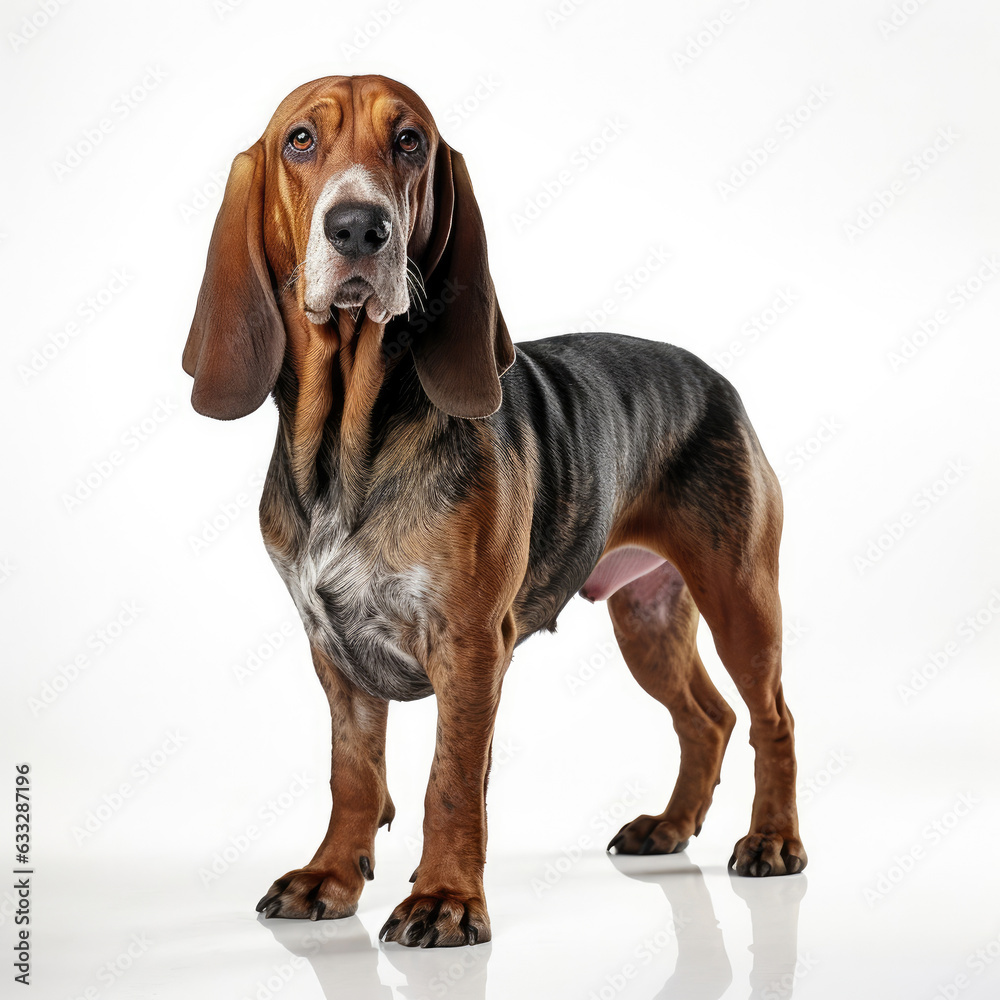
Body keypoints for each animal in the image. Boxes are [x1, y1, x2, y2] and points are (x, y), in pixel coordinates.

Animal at [182, 74, 804, 948]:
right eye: (299, 140)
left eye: (410, 142)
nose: (359, 227)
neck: (347, 443)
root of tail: (717, 378)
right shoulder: (332, 649)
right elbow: (353, 774)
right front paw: (330, 878)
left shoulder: (471, 646)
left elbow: (451, 780)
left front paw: (445, 899)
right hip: (647, 616)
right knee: (707, 719)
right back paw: (669, 827)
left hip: (740, 594)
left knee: (771, 716)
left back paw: (774, 838)